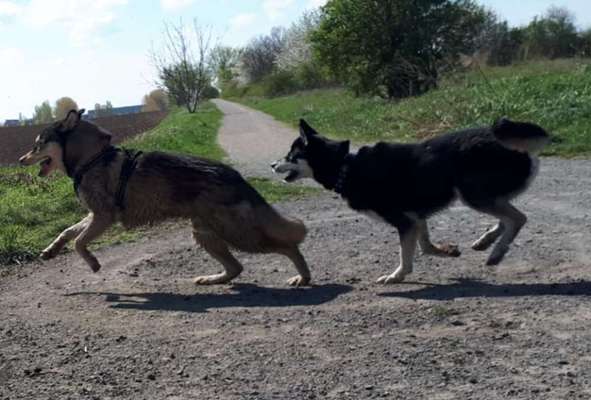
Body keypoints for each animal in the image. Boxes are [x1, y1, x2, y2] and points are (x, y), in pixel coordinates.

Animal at [19, 108, 310, 284]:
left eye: (38, 144)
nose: (21, 160)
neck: (92, 158)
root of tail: (234, 174)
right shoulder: (93, 215)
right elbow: (68, 232)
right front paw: (51, 250)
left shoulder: (103, 217)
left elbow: (79, 242)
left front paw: (93, 263)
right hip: (205, 233)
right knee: (236, 268)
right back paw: (212, 279)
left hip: (236, 232)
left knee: (288, 246)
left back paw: (303, 278)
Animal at [272, 119, 552, 284]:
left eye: (291, 156)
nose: (273, 164)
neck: (346, 167)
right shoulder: (416, 218)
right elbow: (425, 246)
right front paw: (446, 251)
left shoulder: (404, 221)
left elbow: (405, 255)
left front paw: (396, 276)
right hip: (484, 195)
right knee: (506, 219)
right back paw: (486, 241)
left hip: (472, 194)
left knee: (517, 218)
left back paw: (496, 252)